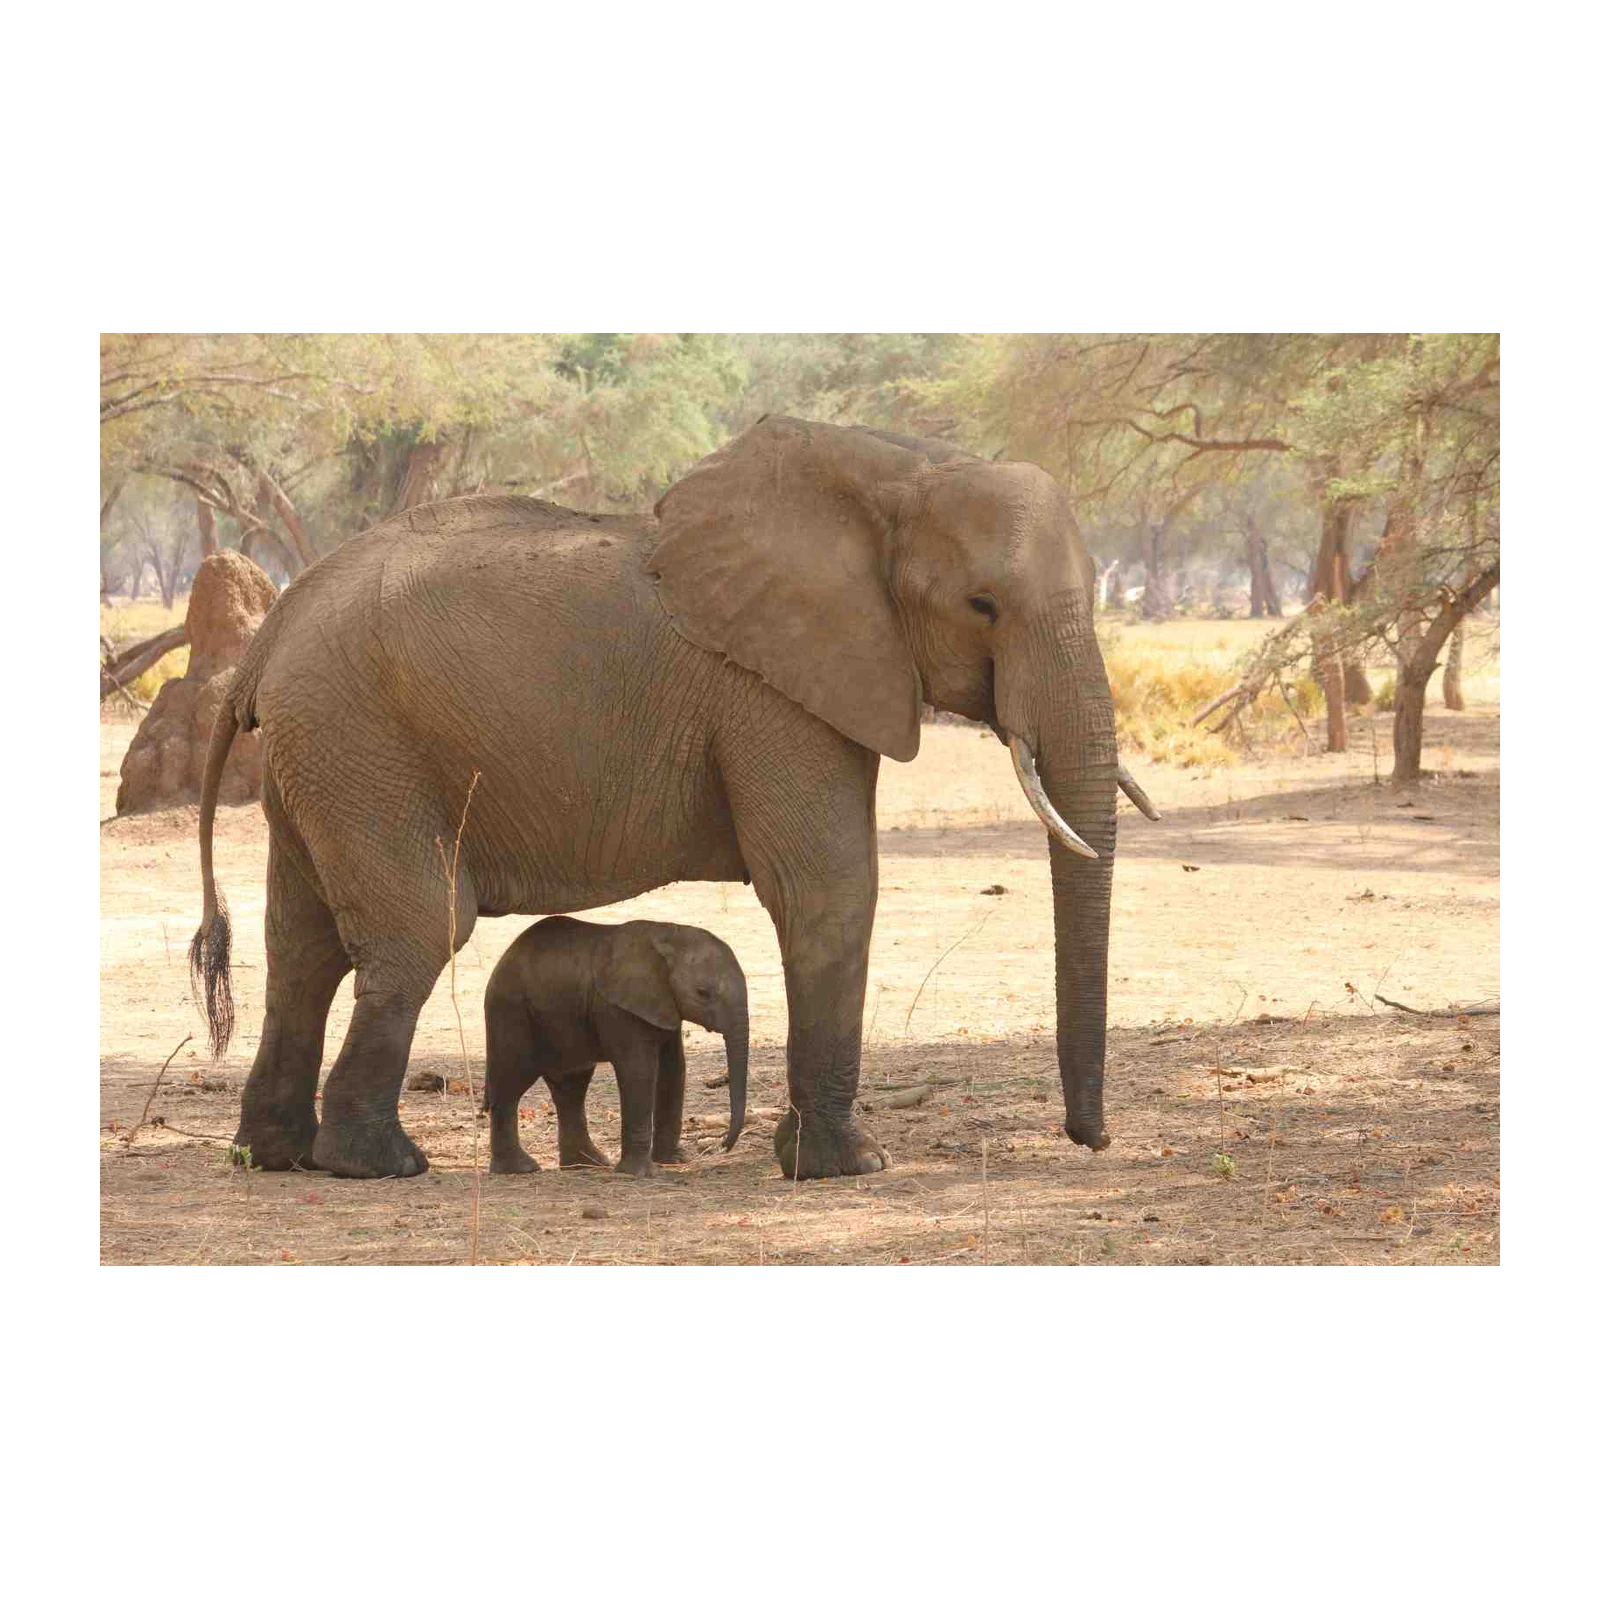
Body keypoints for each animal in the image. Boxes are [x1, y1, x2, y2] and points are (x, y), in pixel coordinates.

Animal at [482, 916, 748, 1178]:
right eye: (703, 993)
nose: (722, 1145)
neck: (668, 933)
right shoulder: (618, 1009)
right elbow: (639, 1071)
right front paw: (642, 1174)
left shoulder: (664, 1005)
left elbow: (674, 1069)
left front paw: (675, 1161)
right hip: (511, 1012)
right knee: (512, 1083)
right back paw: (520, 1169)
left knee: (571, 1086)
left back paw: (588, 1165)